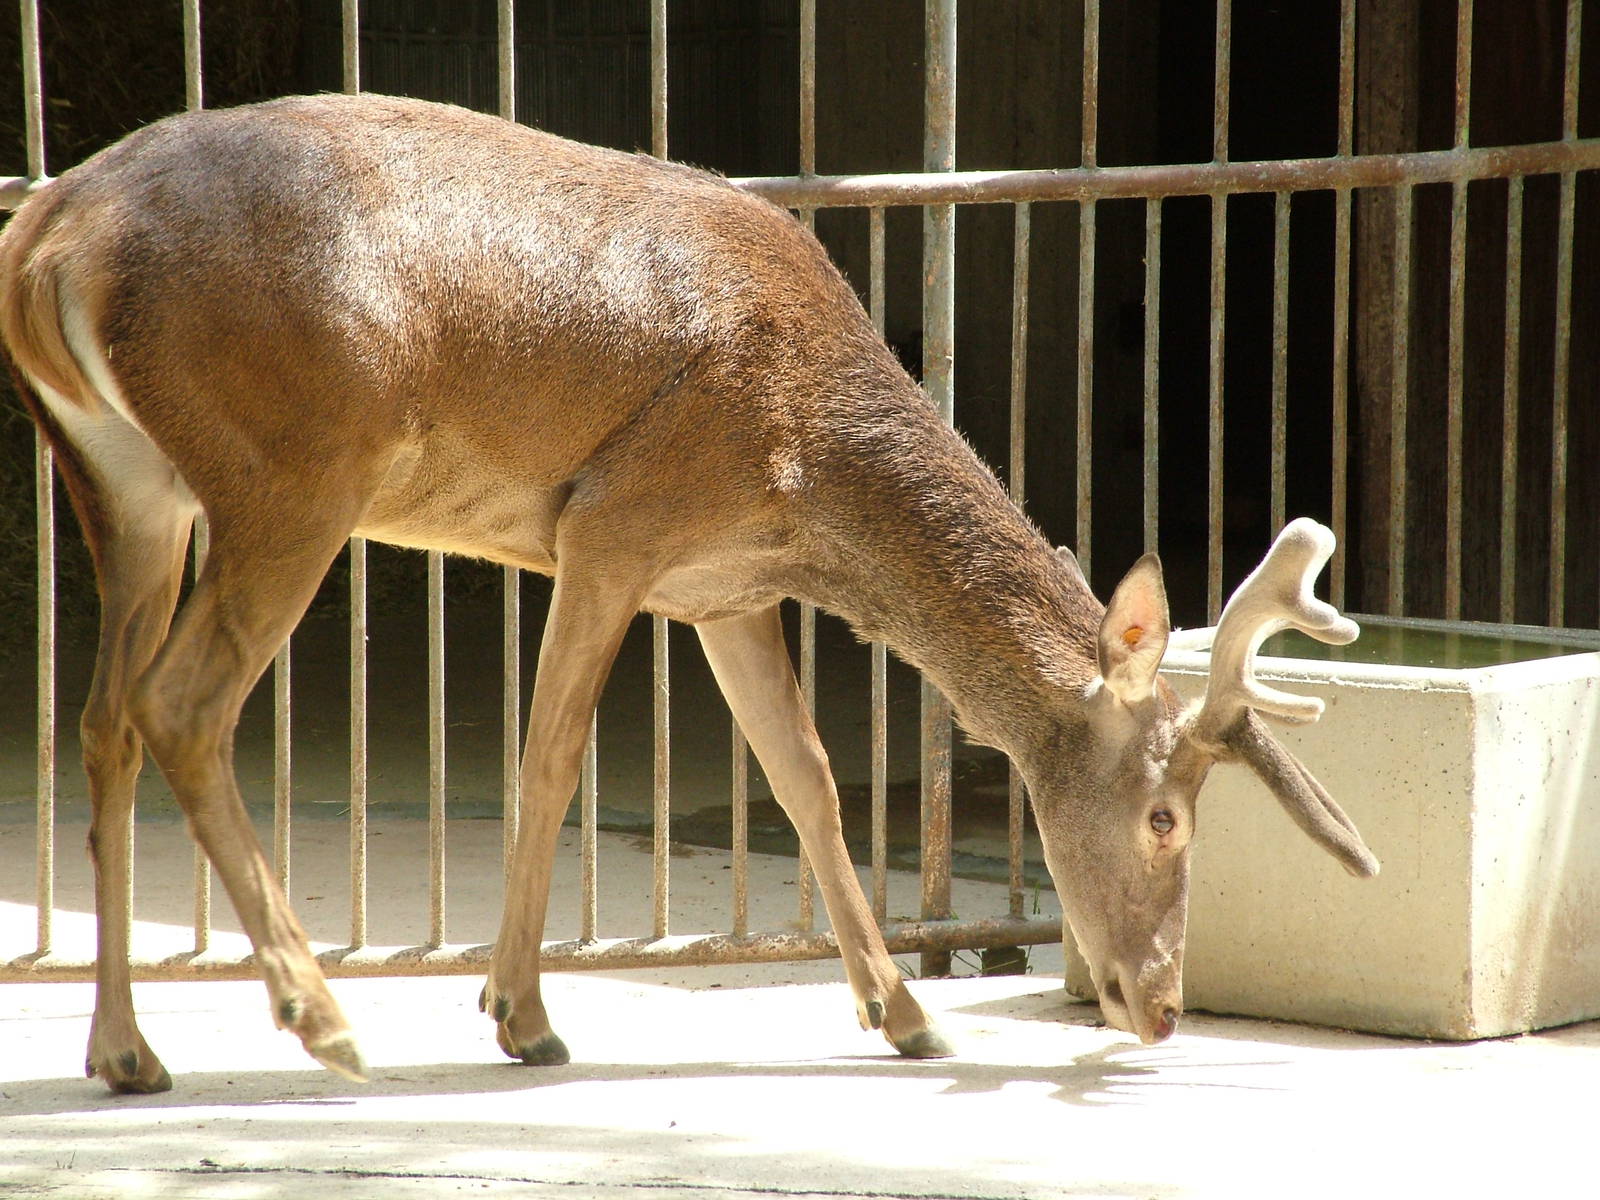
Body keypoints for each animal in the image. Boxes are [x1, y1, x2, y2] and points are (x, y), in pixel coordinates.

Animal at [0, 93, 1378, 1094]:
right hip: (290, 471)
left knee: (104, 721)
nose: (1162, 1007)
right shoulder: (612, 524)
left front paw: (906, 1014)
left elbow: (808, 779)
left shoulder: (723, 590)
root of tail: (50, 236)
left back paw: (127, 1050)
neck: (810, 463)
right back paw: (321, 1018)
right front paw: (519, 1014)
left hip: (123, 483)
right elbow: (550, 759)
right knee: (184, 706)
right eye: (1166, 817)